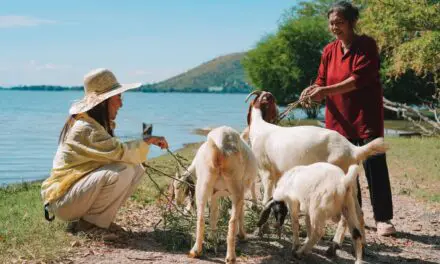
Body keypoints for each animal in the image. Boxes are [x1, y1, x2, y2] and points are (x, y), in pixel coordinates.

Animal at [246, 91, 390, 254]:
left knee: (344, 216)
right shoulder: (278, 175)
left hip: (338, 179)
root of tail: (353, 150)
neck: (260, 125)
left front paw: (261, 230)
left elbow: (266, 200)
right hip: (351, 183)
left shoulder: (266, 172)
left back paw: (334, 245)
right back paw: (362, 245)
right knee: (358, 212)